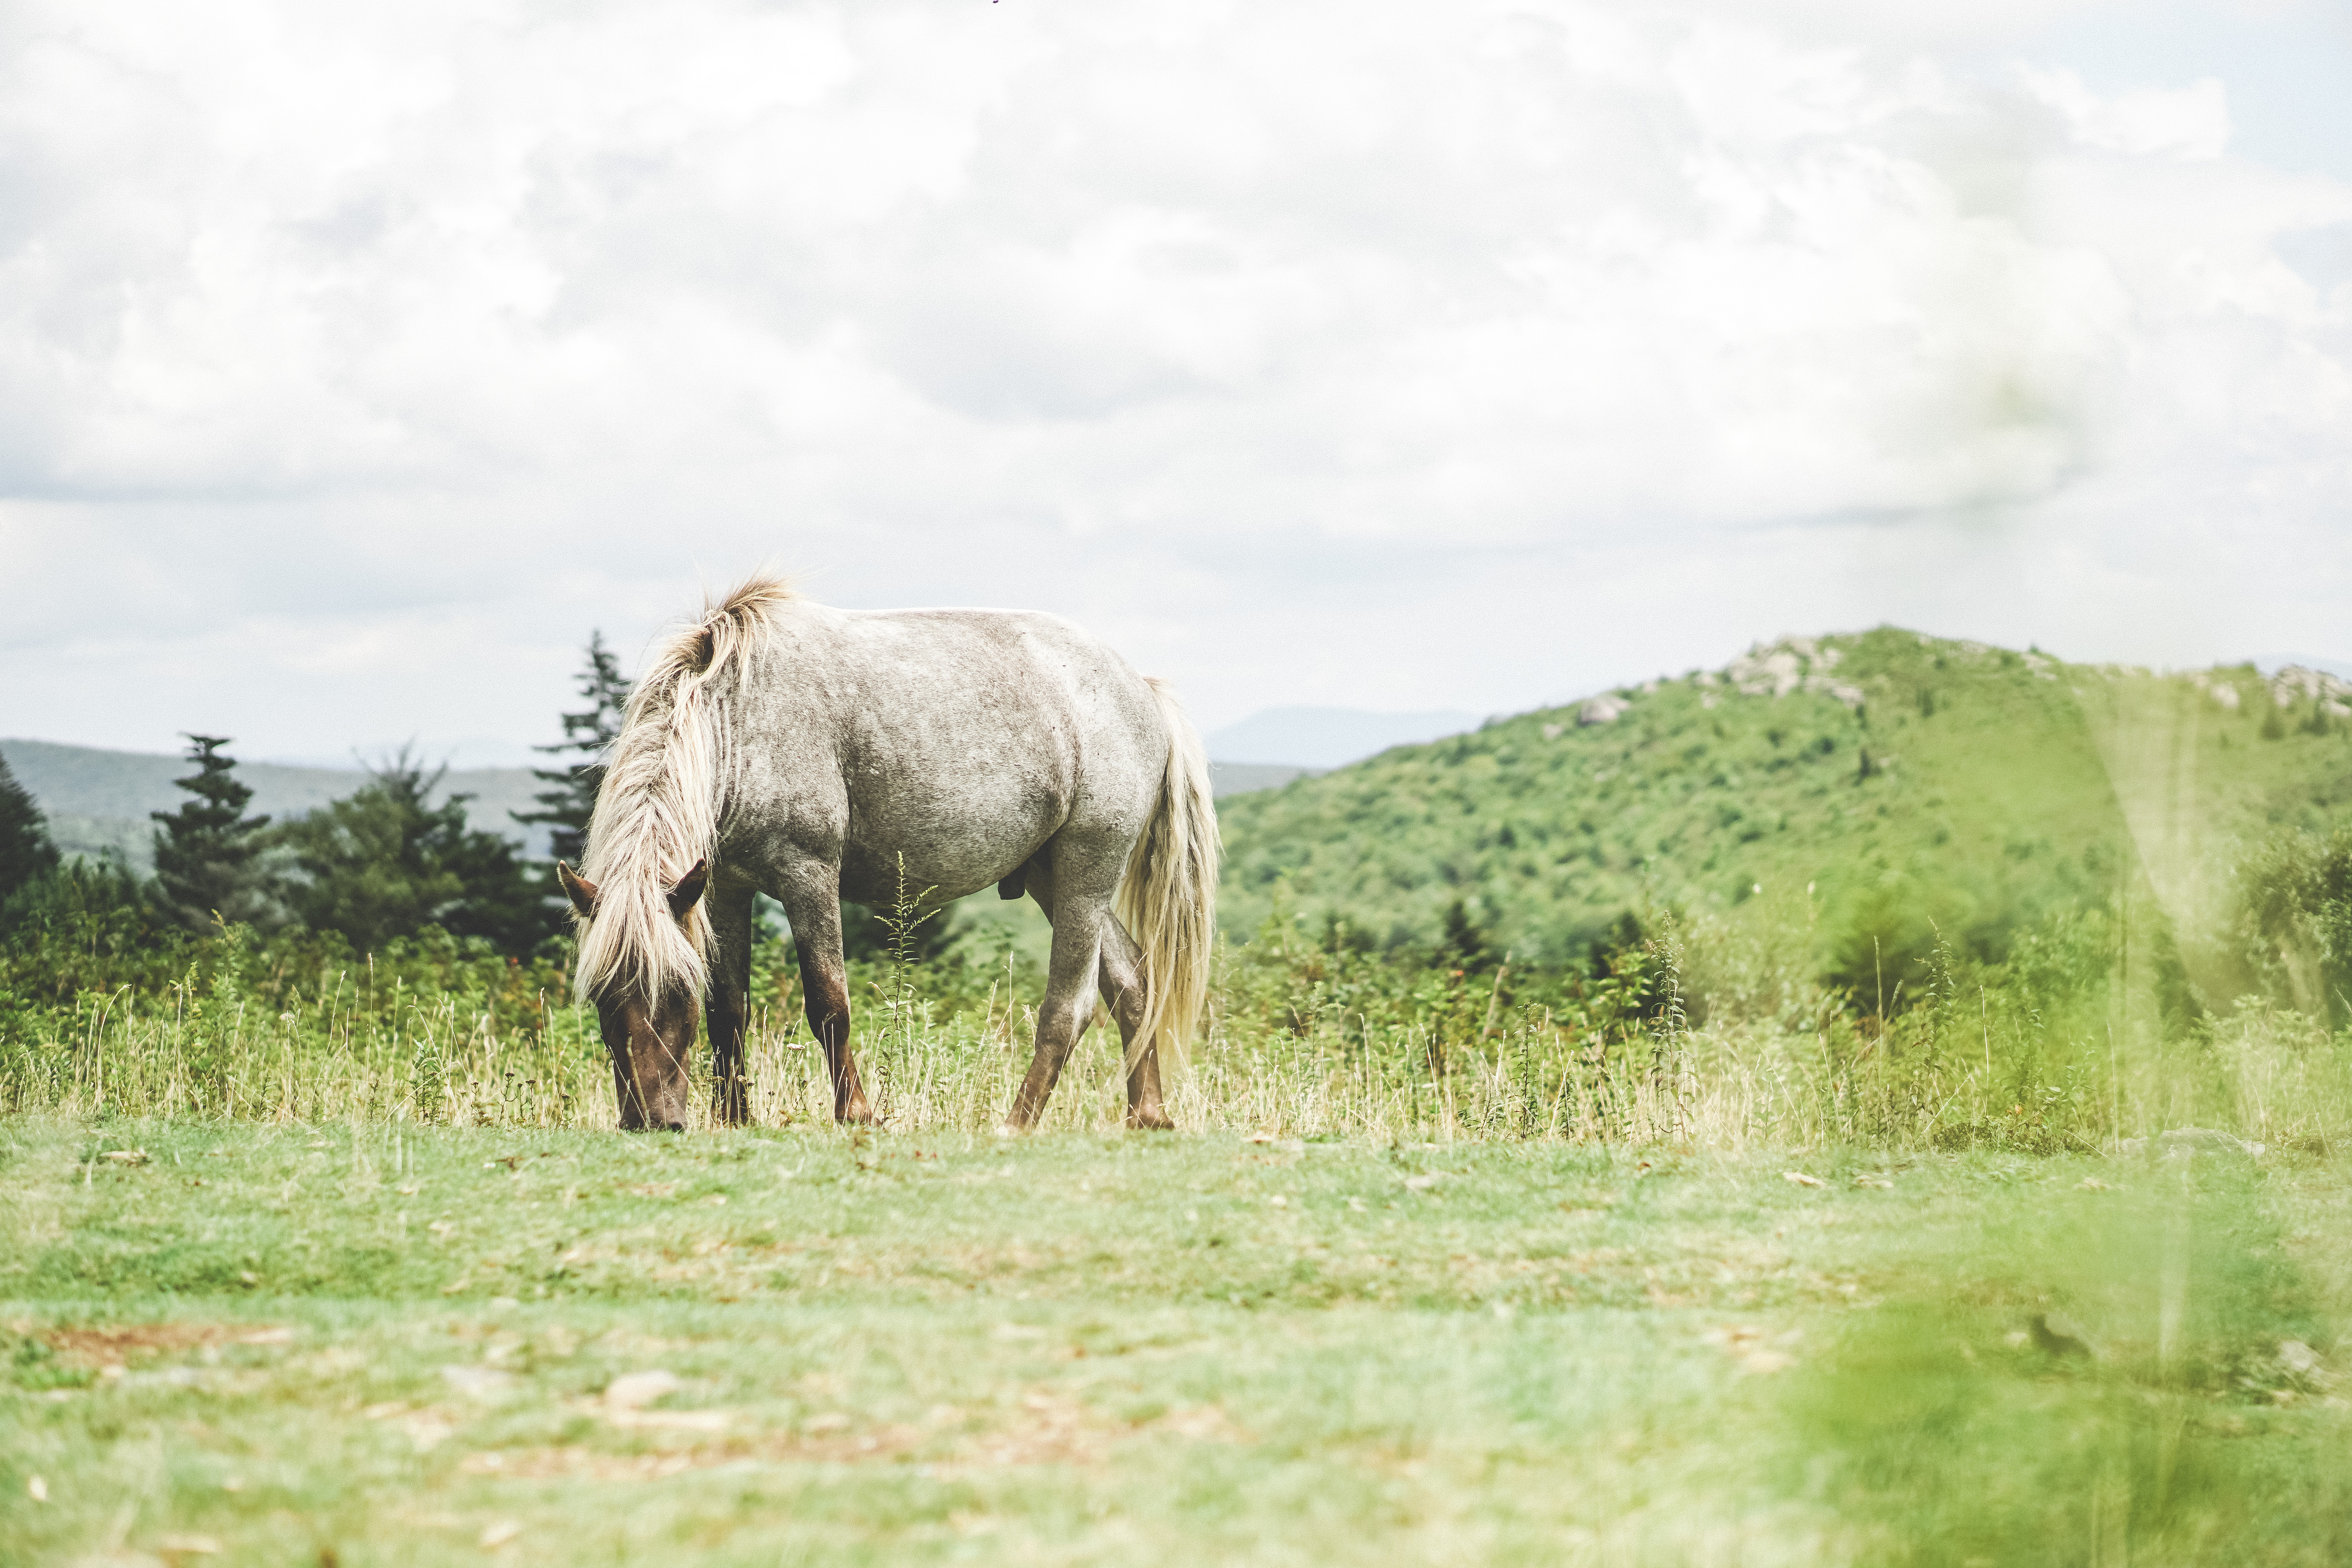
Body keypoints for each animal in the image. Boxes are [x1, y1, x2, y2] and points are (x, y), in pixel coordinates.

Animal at [553, 573, 1220, 1133]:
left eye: (673, 991)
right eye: (604, 996)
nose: (648, 1120)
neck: (740, 718)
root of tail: (1142, 689)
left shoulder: (806, 873)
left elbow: (829, 1002)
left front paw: (857, 1113)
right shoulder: (721, 890)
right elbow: (729, 1009)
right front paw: (736, 1119)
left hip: (1087, 871)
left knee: (1072, 1007)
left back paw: (1018, 1122)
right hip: (1051, 877)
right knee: (1131, 982)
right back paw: (1147, 1115)